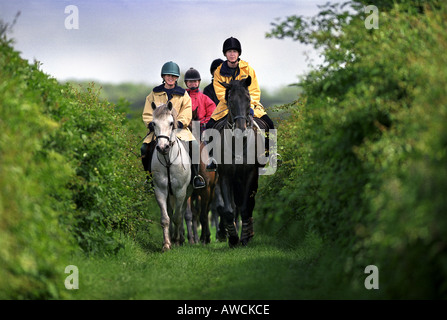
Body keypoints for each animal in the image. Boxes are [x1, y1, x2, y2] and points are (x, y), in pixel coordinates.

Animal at [151, 101, 193, 251]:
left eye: (170, 123)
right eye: (153, 124)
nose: (163, 147)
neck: (168, 160)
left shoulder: (180, 191)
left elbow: (177, 217)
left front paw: (176, 239)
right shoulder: (160, 191)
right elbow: (165, 218)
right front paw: (166, 244)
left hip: (187, 192)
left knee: (181, 212)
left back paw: (180, 238)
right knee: (170, 211)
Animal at [205, 75, 268, 248]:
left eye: (248, 99)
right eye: (231, 100)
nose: (241, 129)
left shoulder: (251, 175)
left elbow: (246, 207)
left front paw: (245, 238)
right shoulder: (225, 176)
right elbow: (227, 209)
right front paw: (233, 238)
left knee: (248, 205)